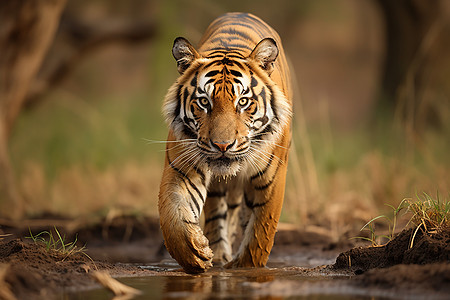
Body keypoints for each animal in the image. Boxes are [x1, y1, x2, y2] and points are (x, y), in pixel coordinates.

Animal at [157, 12, 292, 274]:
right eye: (204, 102)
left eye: (243, 101)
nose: (222, 146)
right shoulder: (182, 167)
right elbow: (173, 215)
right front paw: (195, 251)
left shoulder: (272, 177)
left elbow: (260, 232)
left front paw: (245, 268)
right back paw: (218, 254)